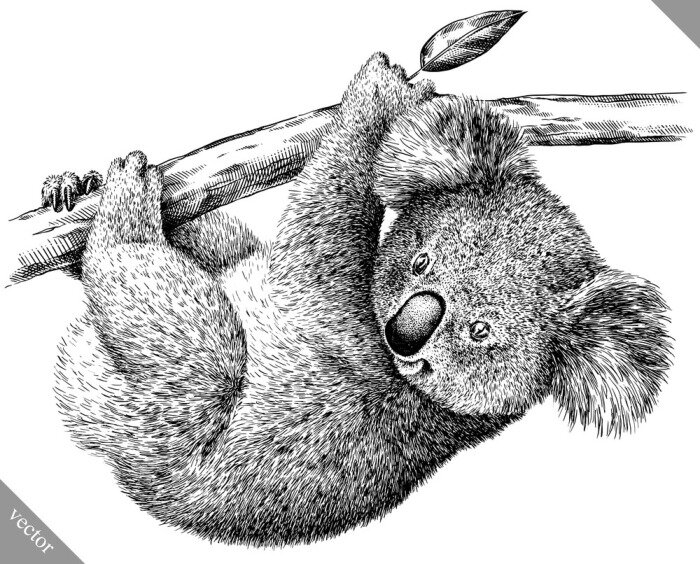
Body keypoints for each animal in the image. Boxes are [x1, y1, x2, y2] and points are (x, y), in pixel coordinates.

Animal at [50, 53, 671, 546]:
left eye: (482, 331)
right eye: (422, 260)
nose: (405, 332)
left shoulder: (333, 323)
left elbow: (318, 228)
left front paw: (380, 88)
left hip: (169, 416)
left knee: (185, 331)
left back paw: (124, 206)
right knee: (217, 247)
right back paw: (77, 189)